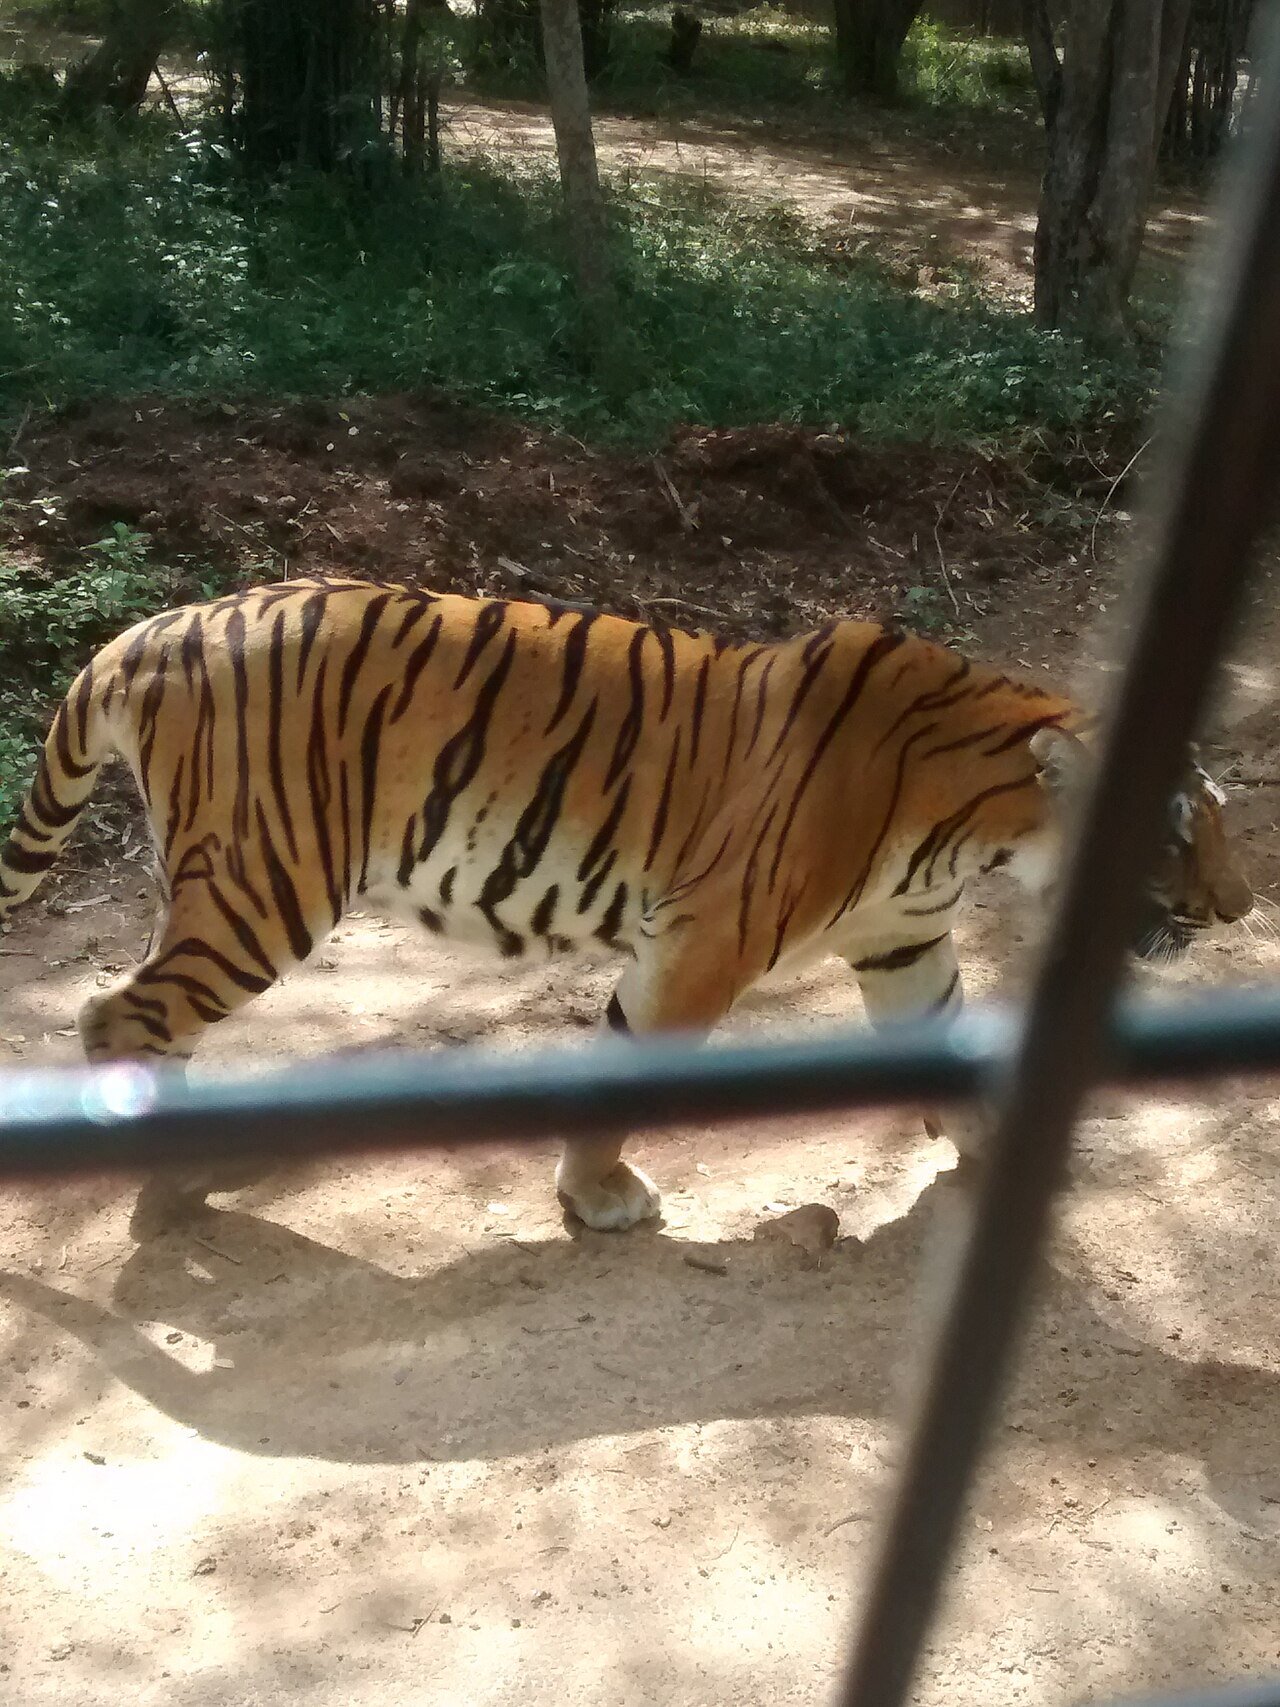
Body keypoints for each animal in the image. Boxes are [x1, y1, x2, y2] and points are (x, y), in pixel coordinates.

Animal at [0, 577, 1252, 1234]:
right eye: (1179, 833)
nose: (1243, 907)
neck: (976, 830)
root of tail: (149, 631)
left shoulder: (904, 948)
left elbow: (947, 1050)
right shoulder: (706, 938)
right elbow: (628, 1070)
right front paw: (599, 1197)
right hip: (266, 885)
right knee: (119, 1015)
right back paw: (171, 1184)